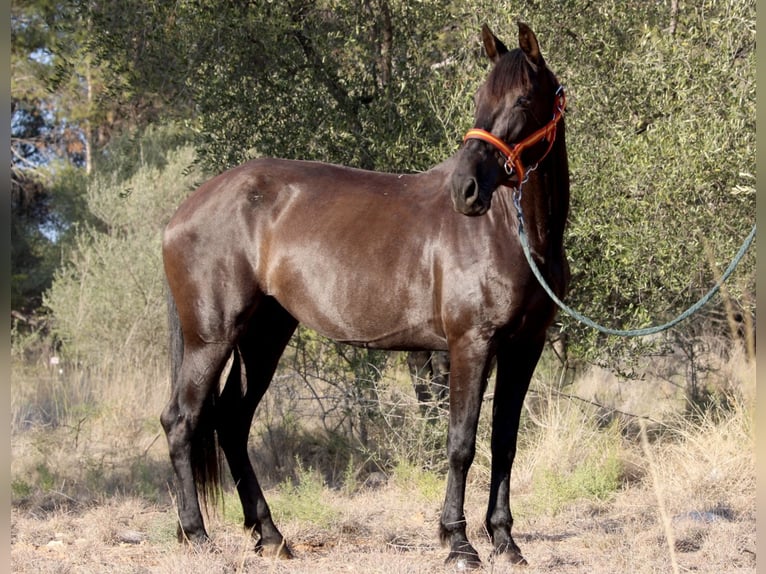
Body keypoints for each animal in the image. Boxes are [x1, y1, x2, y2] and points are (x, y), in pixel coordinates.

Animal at [160, 21, 568, 568]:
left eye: (523, 99)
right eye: (480, 98)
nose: (464, 189)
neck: (512, 232)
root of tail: (184, 211)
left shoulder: (525, 347)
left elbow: (504, 443)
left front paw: (505, 541)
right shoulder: (471, 345)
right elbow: (461, 443)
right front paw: (458, 543)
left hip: (263, 336)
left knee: (232, 421)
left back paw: (270, 535)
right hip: (211, 338)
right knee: (183, 421)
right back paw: (196, 534)